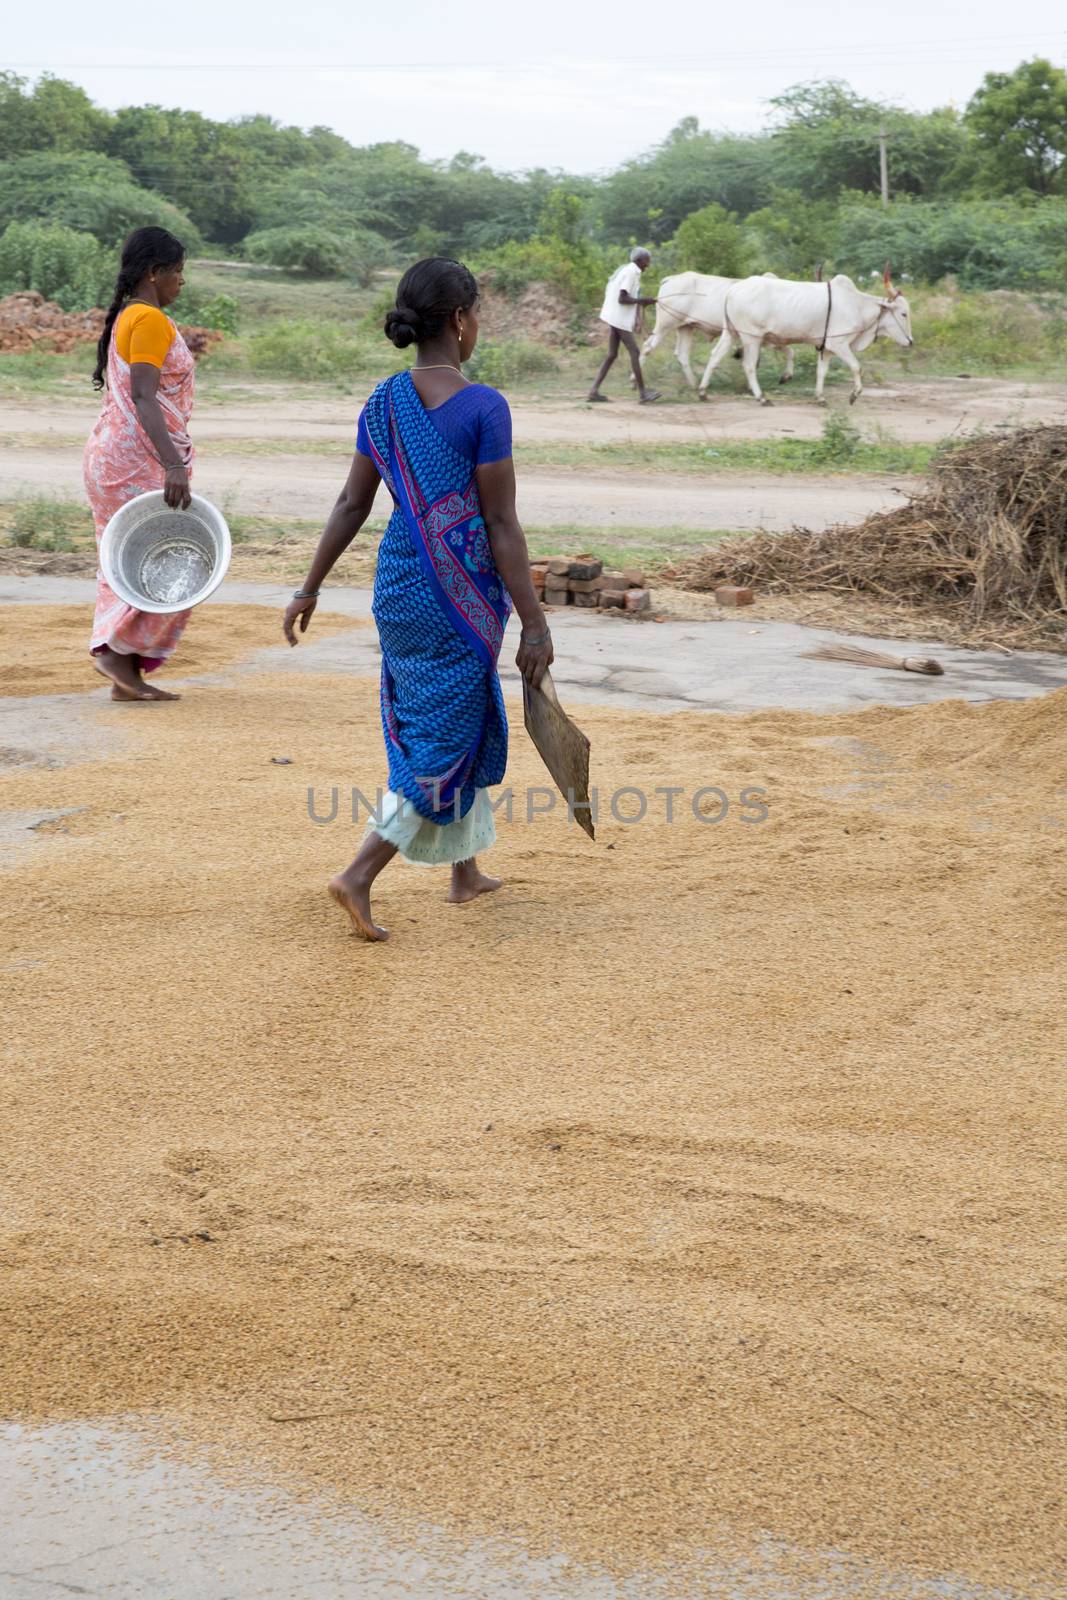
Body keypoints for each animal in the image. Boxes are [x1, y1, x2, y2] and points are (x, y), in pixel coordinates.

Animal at [639, 270, 796, 392]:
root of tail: (670, 279)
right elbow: (785, 352)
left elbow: (785, 352)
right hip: (664, 325)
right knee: (647, 346)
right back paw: (636, 381)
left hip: (686, 327)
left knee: (682, 354)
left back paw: (694, 384)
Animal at [700, 267, 921, 406]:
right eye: (903, 313)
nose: (910, 341)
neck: (857, 305)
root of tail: (733, 289)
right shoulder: (839, 344)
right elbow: (857, 367)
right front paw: (854, 395)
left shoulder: (827, 349)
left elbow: (821, 372)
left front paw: (820, 398)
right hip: (751, 338)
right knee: (748, 366)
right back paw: (762, 398)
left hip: (731, 332)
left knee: (715, 356)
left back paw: (703, 392)